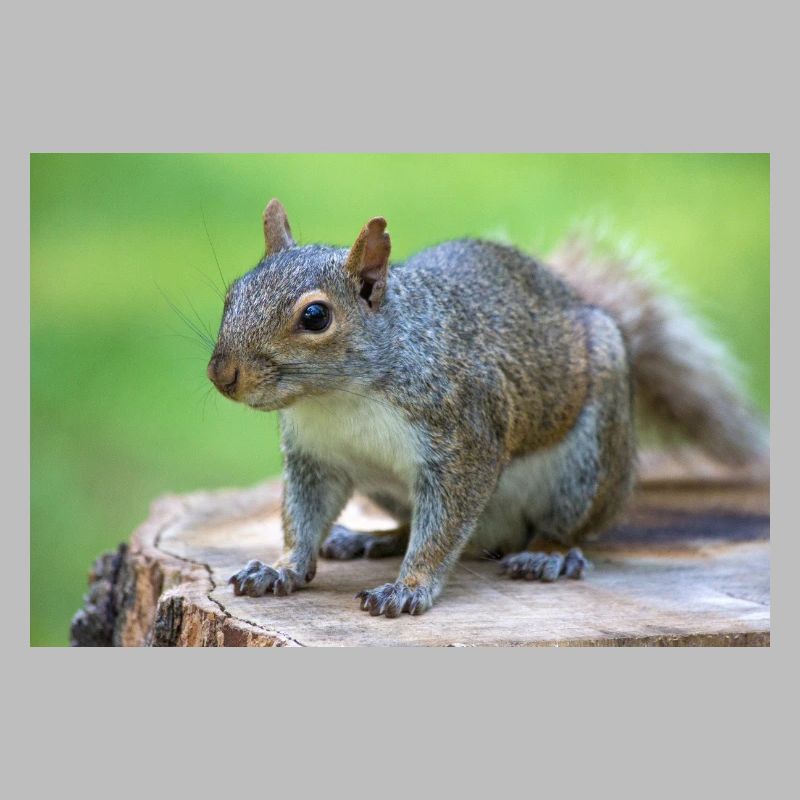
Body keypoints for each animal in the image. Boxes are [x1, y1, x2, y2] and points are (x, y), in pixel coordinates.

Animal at [207, 199, 767, 618]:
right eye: (234, 293)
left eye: (316, 316)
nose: (221, 374)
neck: (338, 399)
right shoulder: (316, 457)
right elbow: (303, 517)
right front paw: (281, 567)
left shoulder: (463, 438)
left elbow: (443, 527)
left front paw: (409, 588)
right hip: (388, 489)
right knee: (415, 523)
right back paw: (373, 539)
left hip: (589, 464)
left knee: (566, 527)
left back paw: (545, 556)